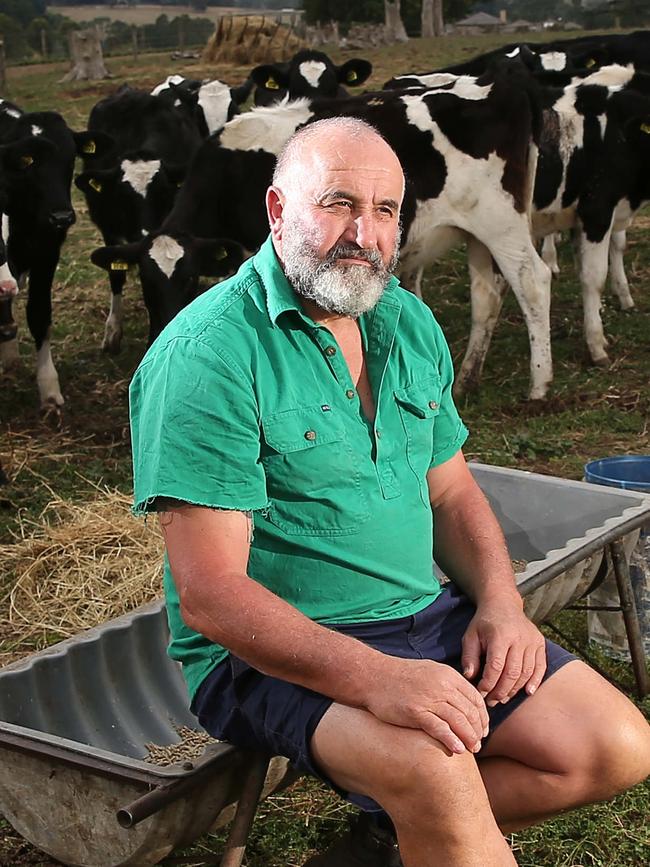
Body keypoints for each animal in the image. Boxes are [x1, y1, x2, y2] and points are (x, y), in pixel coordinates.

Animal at [0, 102, 106, 410]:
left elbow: (39, 314)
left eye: (70, 158)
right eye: (26, 162)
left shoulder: (47, 252)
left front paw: (49, 389)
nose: (62, 216)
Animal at [77, 87, 202, 352]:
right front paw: (114, 332)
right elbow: (117, 274)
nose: (145, 232)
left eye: (163, 192)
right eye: (122, 196)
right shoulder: (110, 230)